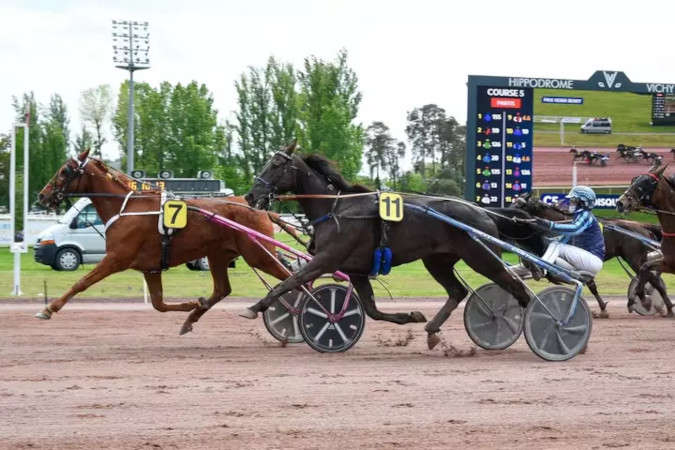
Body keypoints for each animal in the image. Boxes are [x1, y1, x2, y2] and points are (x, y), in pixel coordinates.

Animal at [36, 149, 293, 334]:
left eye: (64, 171)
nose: (42, 195)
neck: (126, 207)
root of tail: (260, 208)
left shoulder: (116, 258)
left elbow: (82, 283)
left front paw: (48, 309)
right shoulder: (151, 268)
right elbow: (158, 304)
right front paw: (194, 304)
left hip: (258, 254)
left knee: (292, 279)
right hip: (218, 255)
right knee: (223, 289)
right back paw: (192, 318)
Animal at [241, 143, 544, 350]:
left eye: (276, 164)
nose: (251, 196)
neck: (337, 209)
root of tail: (484, 211)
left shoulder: (327, 259)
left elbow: (289, 282)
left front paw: (254, 307)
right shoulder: (357, 270)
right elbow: (371, 309)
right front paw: (411, 316)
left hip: (482, 257)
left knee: (517, 288)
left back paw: (532, 324)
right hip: (438, 261)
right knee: (458, 291)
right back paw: (433, 330)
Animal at [513, 192, 670, 316]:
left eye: (519, 205)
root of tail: (642, 225)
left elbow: (585, 282)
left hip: (634, 258)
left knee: (649, 277)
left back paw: (648, 302)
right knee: (650, 277)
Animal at [617, 164, 675, 316]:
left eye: (644, 184)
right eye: (634, 180)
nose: (620, 202)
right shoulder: (668, 262)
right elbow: (645, 267)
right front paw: (640, 298)